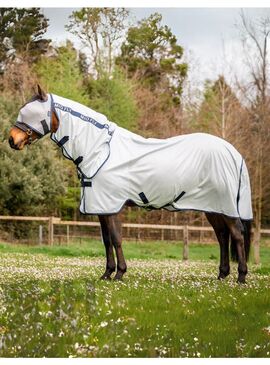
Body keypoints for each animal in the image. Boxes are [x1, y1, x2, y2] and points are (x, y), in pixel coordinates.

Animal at [8, 86, 253, 282]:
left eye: (30, 113)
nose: (12, 140)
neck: (100, 150)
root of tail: (233, 152)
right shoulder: (102, 208)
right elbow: (106, 241)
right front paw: (106, 273)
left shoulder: (112, 206)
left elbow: (116, 239)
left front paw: (119, 273)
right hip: (213, 207)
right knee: (222, 236)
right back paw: (222, 275)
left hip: (224, 206)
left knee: (237, 235)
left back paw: (241, 277)